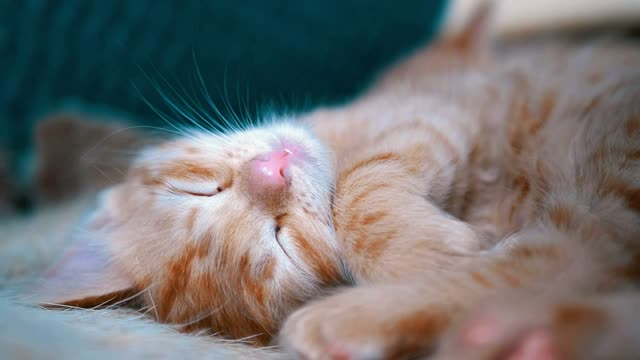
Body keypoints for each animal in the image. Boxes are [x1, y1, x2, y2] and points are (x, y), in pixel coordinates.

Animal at [32, 5, 640, 360]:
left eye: (200, 187)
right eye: (283, 241)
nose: (271, 170)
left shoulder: (438, 111)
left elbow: (359, 185)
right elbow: (361, 190)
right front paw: (426, 259)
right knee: (557, 258)